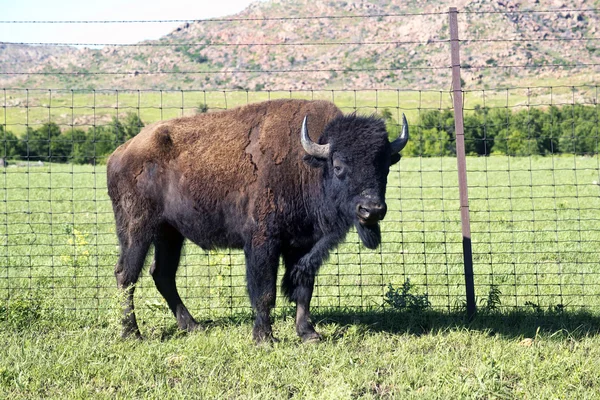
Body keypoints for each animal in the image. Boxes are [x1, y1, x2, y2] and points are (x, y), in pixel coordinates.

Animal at [108, 98, 408, 342]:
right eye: (338, 165)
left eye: (384, 165)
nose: (371, 210)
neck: (306, 163)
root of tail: (120, 153)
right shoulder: (263, 242)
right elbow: (264, 290)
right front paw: (264, 337)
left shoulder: (304, 245)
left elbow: (303, 287)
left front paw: (308, 334)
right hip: (137, 229)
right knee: (126, 275)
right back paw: (131, 333)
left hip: (169, 234)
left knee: (162, 274)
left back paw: (192, 326)